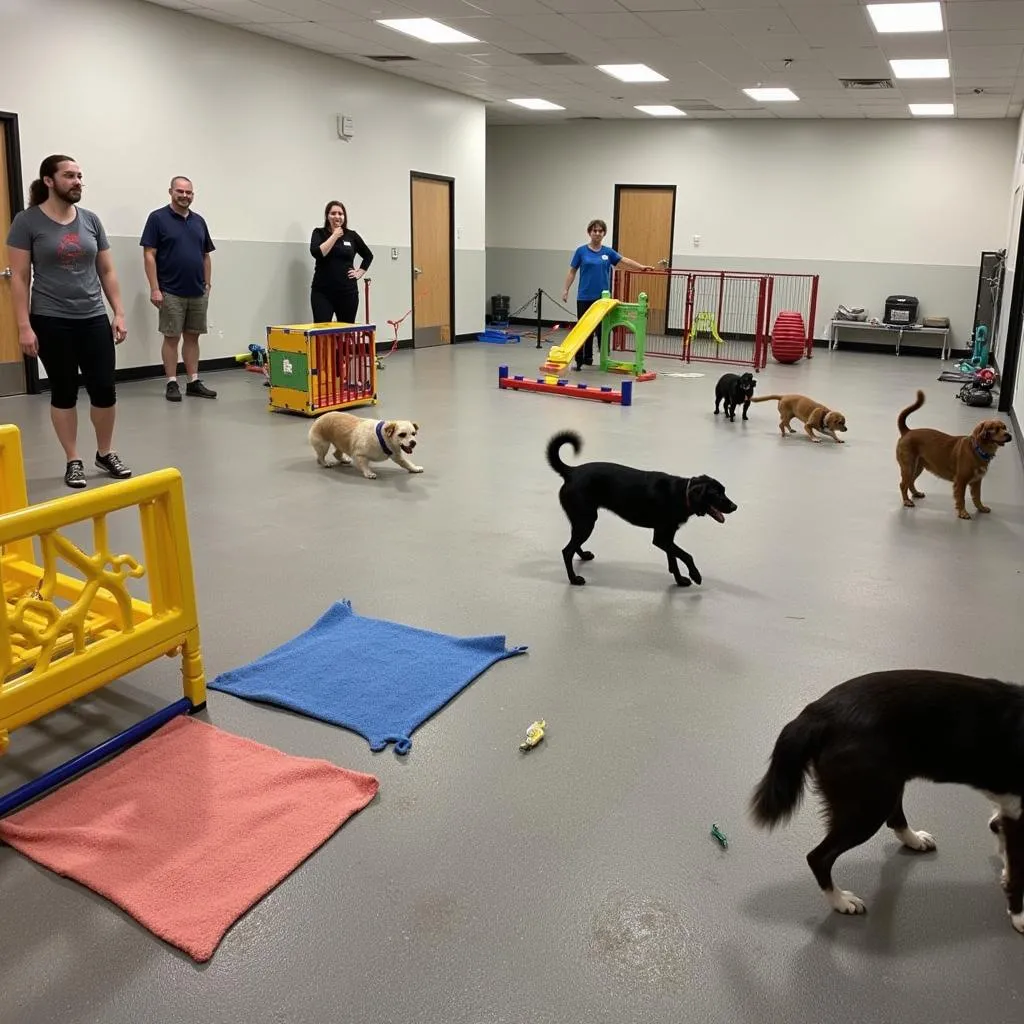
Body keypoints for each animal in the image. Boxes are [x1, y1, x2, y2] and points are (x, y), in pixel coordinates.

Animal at [544, 432, 737, 589]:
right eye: (717, 494)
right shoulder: (661, 538)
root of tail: (571, 471)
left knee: (573, 544)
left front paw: (680, 580)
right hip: (586, 520)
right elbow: (686, 555)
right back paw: (574, 579)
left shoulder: (667, 537)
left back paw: (583, 555)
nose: (735, 507)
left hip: (582, 520)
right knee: (567, 551)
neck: (682, 494)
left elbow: (673, 558)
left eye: (724, 491)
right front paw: (695, 575)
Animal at [749, 667, 1024, 933]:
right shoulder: (1017, 814)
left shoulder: (1009, 809)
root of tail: (815, 713)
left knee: (893, 818)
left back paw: (914, 840)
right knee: (818, 857)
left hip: (885, 785)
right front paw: (1019, 915)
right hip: (868, 805)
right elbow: (1017, 869)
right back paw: (841, 901)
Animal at [897, 391, 1007, 520]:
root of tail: (907, 431)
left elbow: (977, 497)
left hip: (917, 467)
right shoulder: (961, 482)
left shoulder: (977, 481)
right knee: (903, 484)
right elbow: (961, 499)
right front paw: (963, 512)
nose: (1009, 435)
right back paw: (906, 501)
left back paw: (916, 493)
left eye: (1004, 427)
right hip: (908, 467)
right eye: (994, 429)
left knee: (910, 482)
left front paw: (981, 508)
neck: (977, 449)